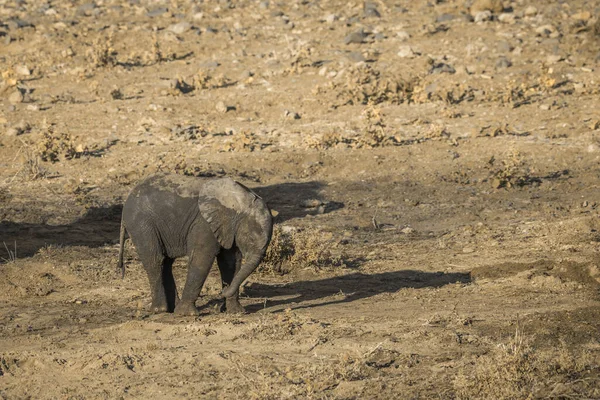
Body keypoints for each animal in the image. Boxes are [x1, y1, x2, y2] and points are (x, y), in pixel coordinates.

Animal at [117, 173, 272, 318]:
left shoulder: (228, 229)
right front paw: (187, 314)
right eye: (250, 238)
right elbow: (201, 259)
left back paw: (171, 309)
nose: (221, 294)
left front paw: (235, 312)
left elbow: (231, 262)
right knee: (155, 260)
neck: (239, 201)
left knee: (166, 262)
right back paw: (160, 310)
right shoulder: (204, 224)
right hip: (141, 224)